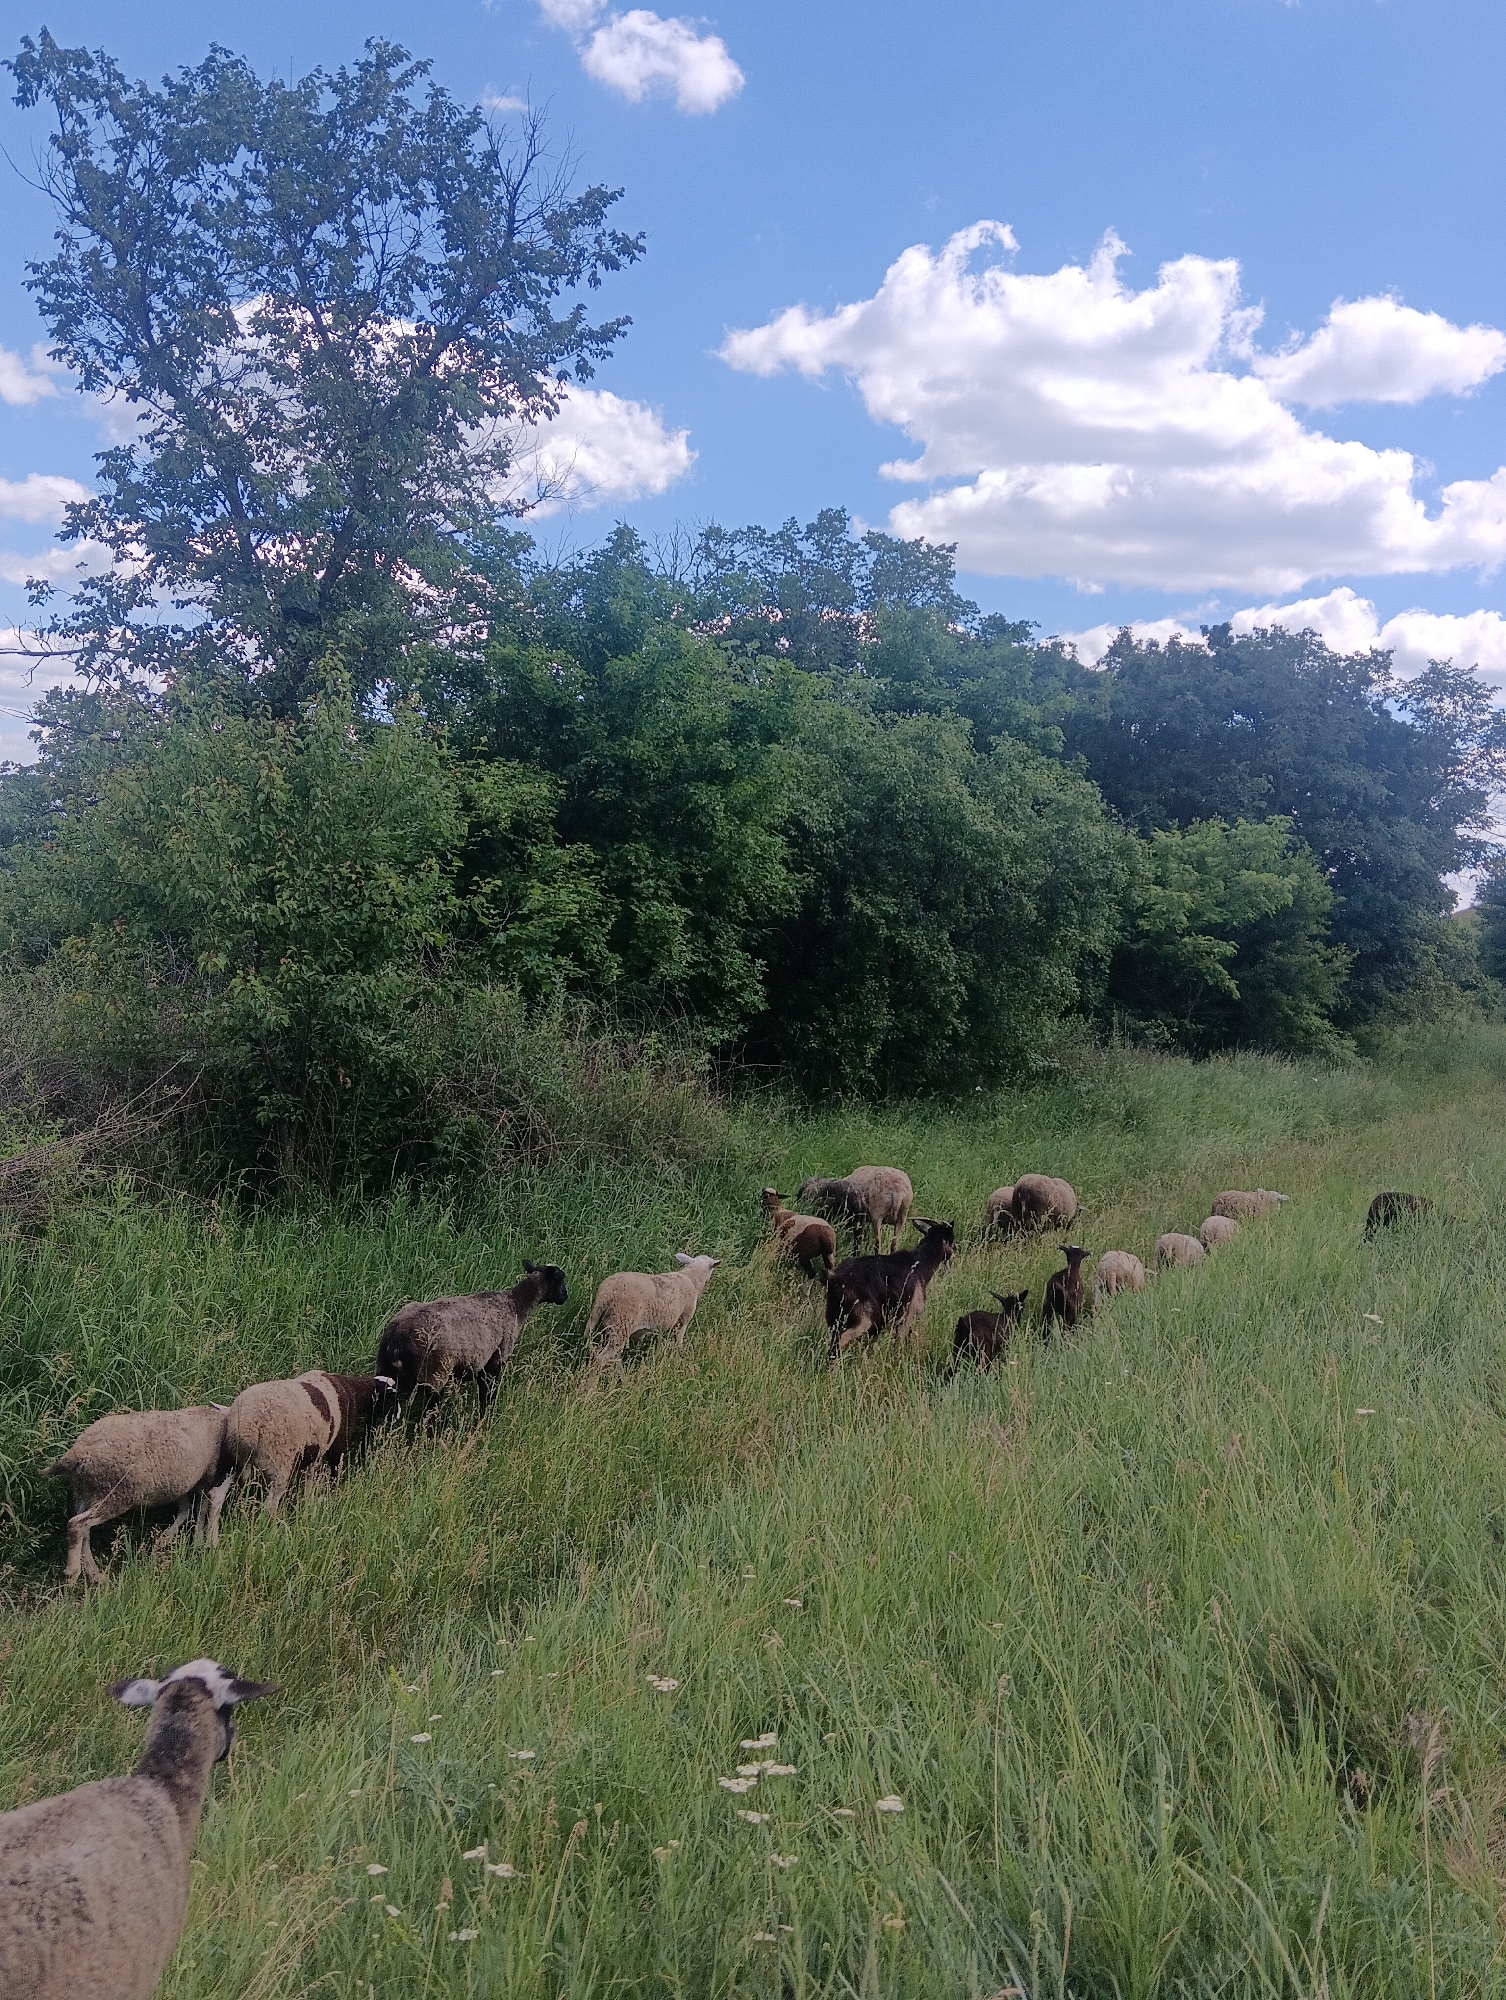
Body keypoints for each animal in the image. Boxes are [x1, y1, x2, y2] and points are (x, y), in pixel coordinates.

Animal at [42, 1406, 229, 1587]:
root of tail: (78, 1453)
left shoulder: (187, 1483)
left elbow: (192, 1509)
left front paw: (176, 1539)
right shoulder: (211, 1479)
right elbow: (205, 1508)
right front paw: (208, 1545)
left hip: (86, 1492)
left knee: (84, 1529)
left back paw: (94, 1574)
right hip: (115, 1493)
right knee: (77, 1524)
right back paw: (72, 1573)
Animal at [202, 1370, 399, 1541]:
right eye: (392, 1397)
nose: (397, 1415)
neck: (352, 1392)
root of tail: (247, 1426)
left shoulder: (314, 1453)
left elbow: (310, 1478)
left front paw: (309, 1503)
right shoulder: (336, 1448)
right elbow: (334, 1475)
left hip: (229, 1460)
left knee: (216, 1497)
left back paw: (213, 1542)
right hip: (280, 1462)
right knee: (270, 1506)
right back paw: (273, 1533)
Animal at [377, 1262, 569, 1418]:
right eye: (560, 1278)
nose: (565, 1297)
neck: (516, 1305)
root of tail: (397, 1338)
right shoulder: (494, 1364)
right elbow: (487, 1396)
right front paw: (486, 1419)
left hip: (386, 1371)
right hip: (434, 1376)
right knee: (429, 1415)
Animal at [581, 1254, 722, 1391]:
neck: (692, 1277)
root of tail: (606, 1295)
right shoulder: (683, 1320)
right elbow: (679, 1340)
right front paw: (679, 1355)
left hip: (609, 1325)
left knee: (613, 1356)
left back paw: (623, 1380)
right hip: (621, 1324)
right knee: (601, 1359)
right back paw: (592, 1386)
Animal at [826, 1218, 955, 1360]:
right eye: (952, 1240)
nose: (954, 1253)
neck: (921, 1264)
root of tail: (836, 1280)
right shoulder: (906, 1316)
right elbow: (899, 1343)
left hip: (836, 1318)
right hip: (861, 1319)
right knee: (840, 1340)